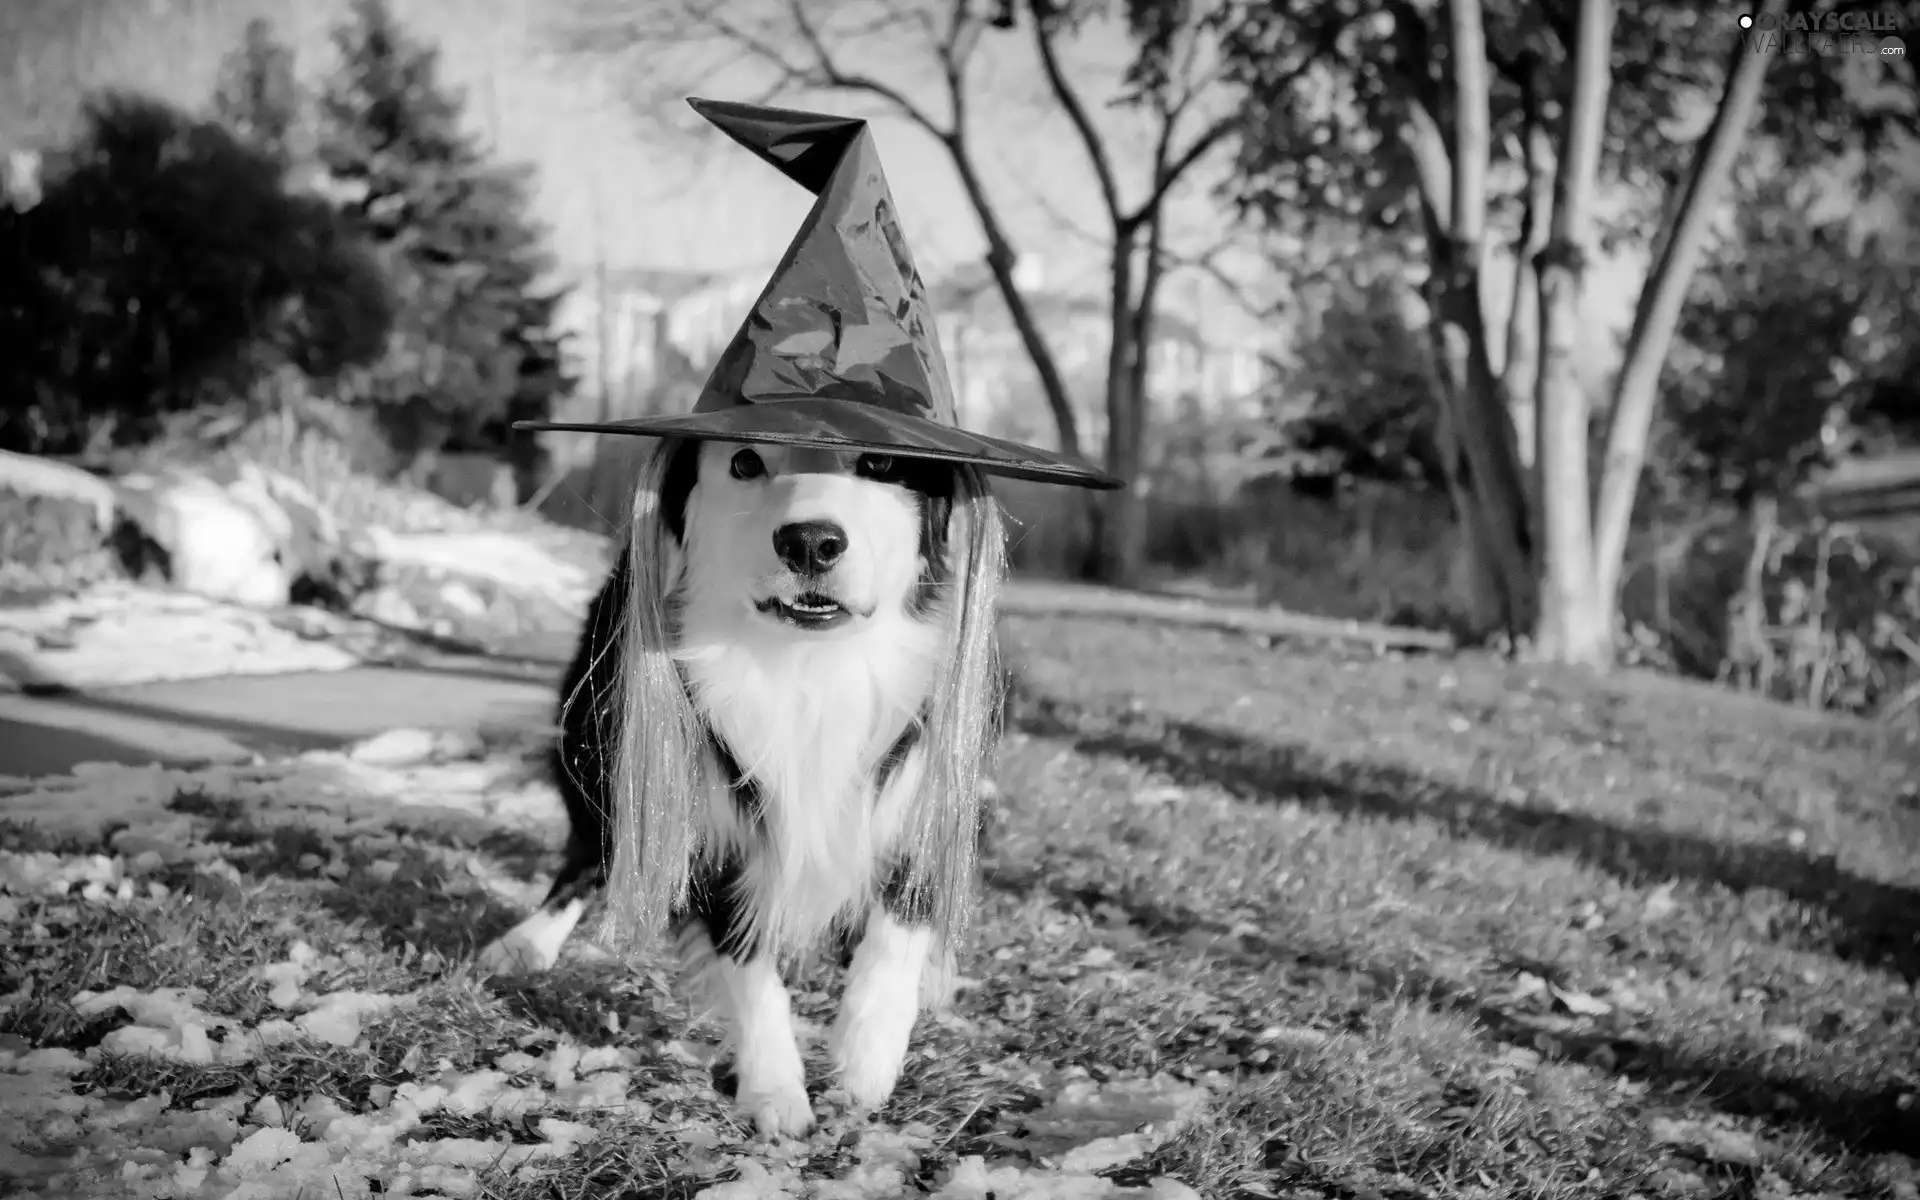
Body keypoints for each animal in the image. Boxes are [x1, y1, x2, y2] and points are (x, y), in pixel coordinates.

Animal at [478, 435, 1006, 1136]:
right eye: (745, 461)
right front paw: (775, 1090)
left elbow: (899, 925)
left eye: (880, 463)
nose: (810, 542)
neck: (809, 665)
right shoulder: (712, 826)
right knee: (593, 849)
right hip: (597, 738)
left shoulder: (931, 782)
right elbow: (748, 967)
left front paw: (865, 1060)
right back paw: (526, 942)